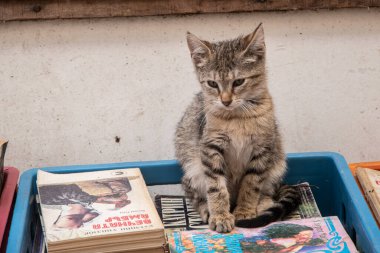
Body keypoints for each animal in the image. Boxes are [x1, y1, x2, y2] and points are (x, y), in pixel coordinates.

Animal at [175, 23, 300, 233]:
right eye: (212, 83)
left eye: (239, 81)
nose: (225, 101)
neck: (237, 117)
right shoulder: (210, 147)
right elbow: (216, 186)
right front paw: (220, 215)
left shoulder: (263, 148)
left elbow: (251, 183)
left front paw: (244, 210)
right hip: (192, 169)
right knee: (194, 195)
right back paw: (207, 210)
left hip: (277, 165)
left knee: (267, 191)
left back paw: (263, 204)